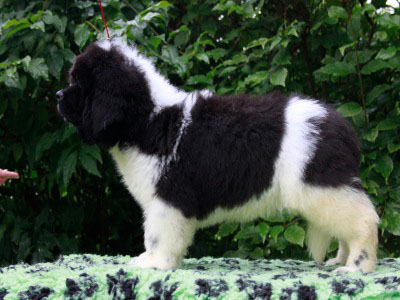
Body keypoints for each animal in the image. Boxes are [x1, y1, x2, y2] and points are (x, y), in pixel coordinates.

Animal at [56, 38, 378, 274]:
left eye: (80, 85)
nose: (58, 96)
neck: (150, 120)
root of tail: (343, 126)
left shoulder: (167, 199)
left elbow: (157, 234)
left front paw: (154, 263)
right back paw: (341, 259)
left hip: (320, 186)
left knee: (364, 220)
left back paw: (357, 266)